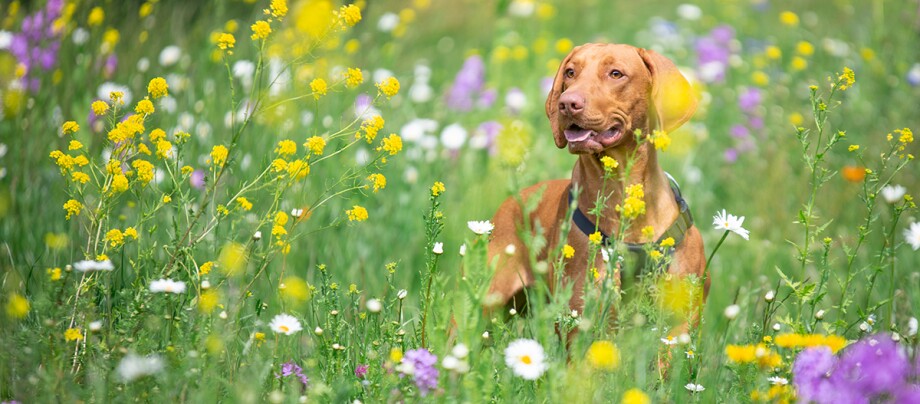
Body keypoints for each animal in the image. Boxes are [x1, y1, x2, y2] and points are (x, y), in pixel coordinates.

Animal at [486, 42, 708, 330]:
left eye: (615, 74)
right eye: (570, 72)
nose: (567, 104)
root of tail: (514, 200)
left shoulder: (680, 326)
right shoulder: (584, 322)